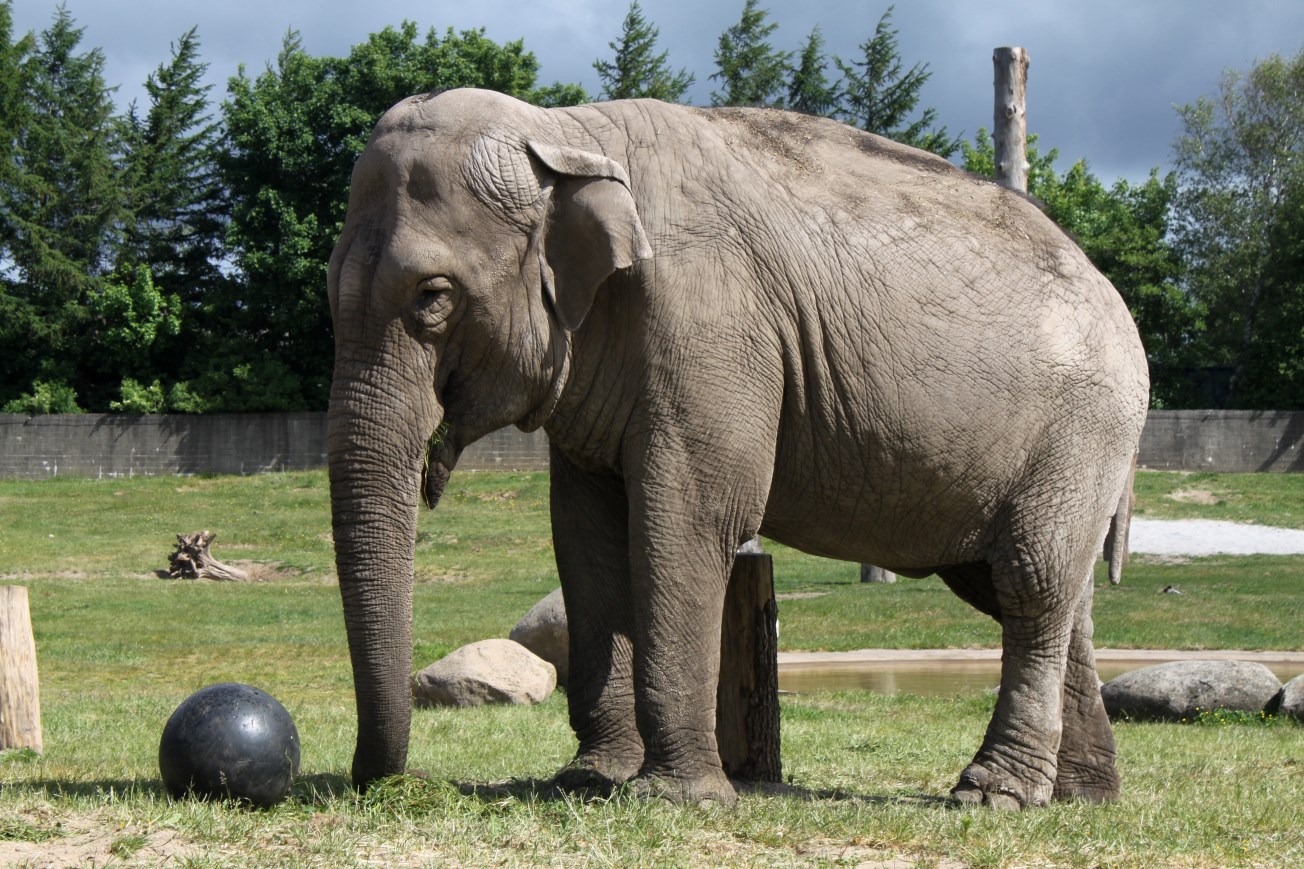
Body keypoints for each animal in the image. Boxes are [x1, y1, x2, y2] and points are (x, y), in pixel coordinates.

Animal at [326, 88, 1149, 809]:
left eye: (433, 297)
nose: (388, 783)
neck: (567, 130)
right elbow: (585, 535)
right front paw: (587, 781)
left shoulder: (712, 326)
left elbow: (691, 518)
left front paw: (674, 799)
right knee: (1033, 593)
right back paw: (1082, 796)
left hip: (1083, 431)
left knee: (1030, 582)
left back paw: (993, 795)